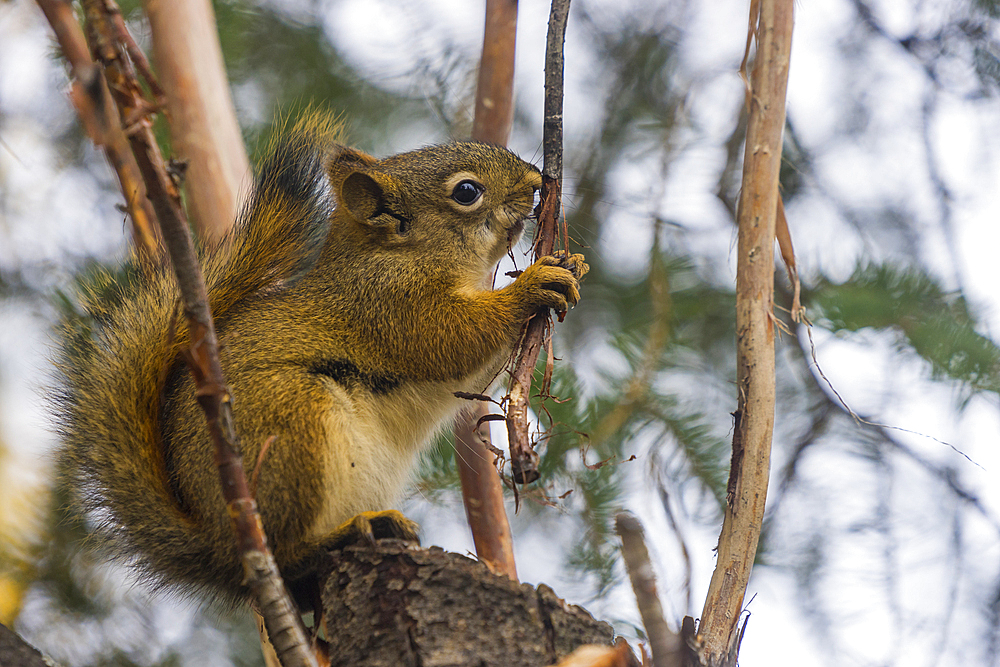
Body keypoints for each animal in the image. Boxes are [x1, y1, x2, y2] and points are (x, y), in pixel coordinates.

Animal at [52, 115, 584, 604]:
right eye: (467, 191)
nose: (537, 181)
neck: (398, 253)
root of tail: (221, 547)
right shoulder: (388, 305)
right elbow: (450, 340)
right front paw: (531, 285)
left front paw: (572, 265)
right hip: (291, 423)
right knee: (289, 551)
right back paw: (341, 535)